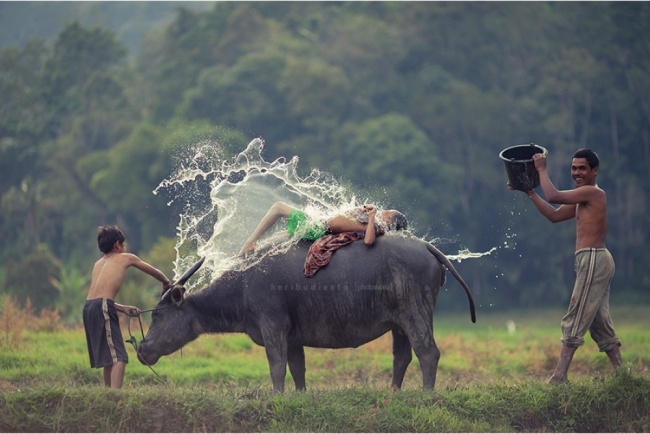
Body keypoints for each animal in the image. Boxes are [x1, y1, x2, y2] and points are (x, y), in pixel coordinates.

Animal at [137, 236, 474, 392]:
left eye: (157, 314)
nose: (142, 349)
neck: (243, 286)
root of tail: (427, 247)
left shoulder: (273, 326)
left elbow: (276, 367)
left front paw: (276, 395)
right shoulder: (293, 337)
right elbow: (298, 369)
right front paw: (298, 394)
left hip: (416, 312)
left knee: (428, 352)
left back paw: (427, 393)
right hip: (399, 322)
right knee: (402, 356)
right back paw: (393, 392)